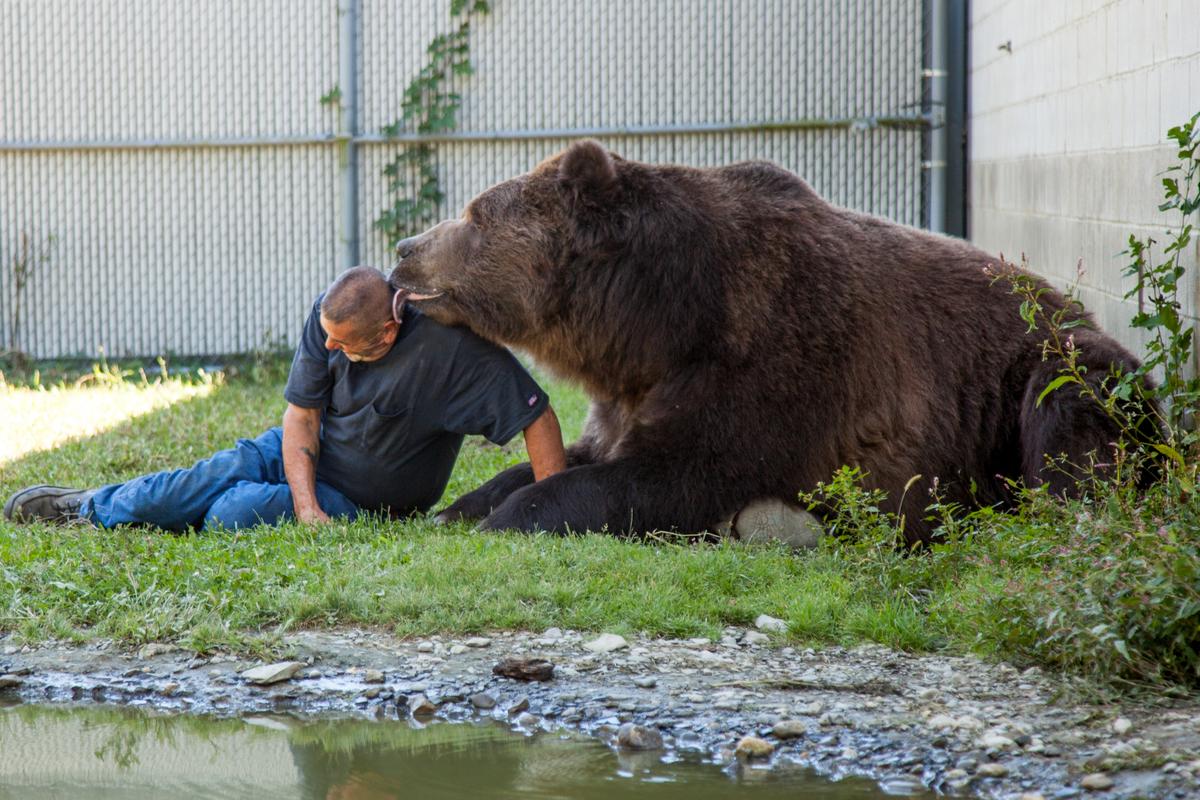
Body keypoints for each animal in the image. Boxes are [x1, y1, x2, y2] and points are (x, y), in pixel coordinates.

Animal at [388, 139, 1147, 544]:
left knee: (1073, 430)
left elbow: (673, 475)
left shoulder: (770, 361)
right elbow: (579, 455)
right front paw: (462, 506)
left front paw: (506, 519)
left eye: (475, 215)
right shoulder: (633, 392)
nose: (403, 247)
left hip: (1044, 371)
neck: (658, 320)